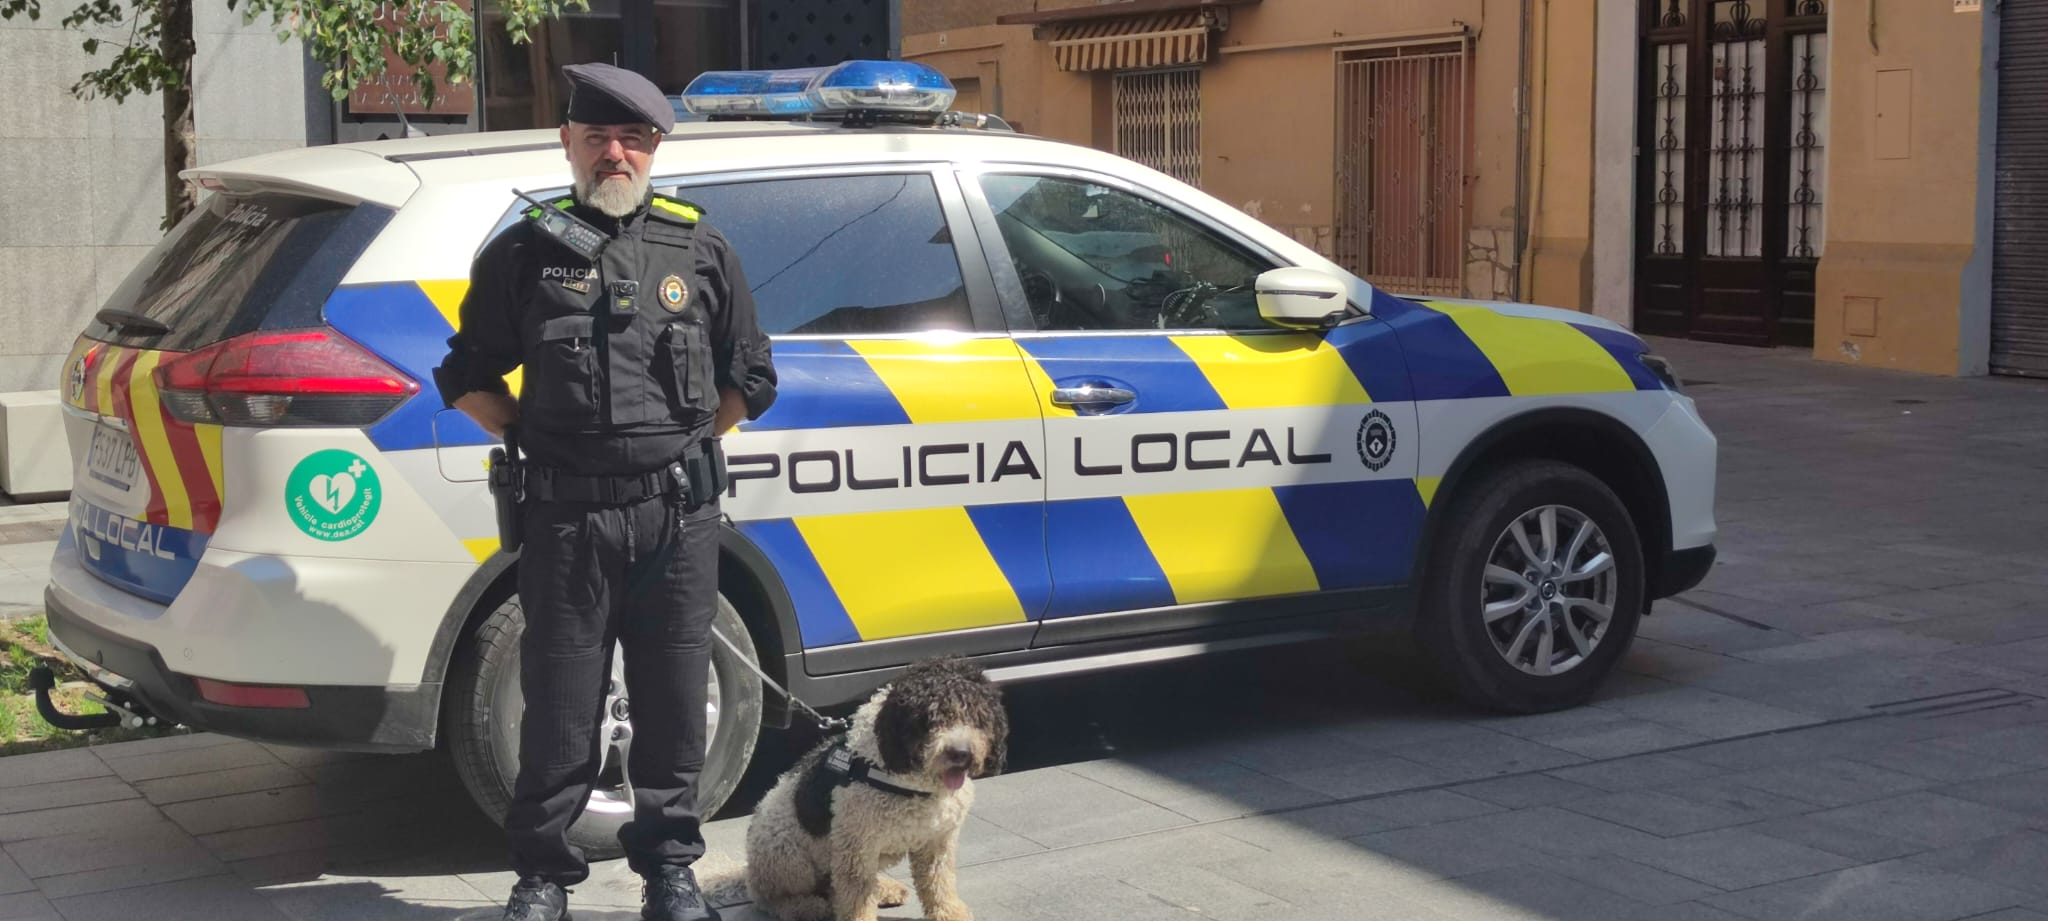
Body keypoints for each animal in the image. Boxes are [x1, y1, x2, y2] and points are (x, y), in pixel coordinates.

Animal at [744, 657, 1008, 921]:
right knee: (772, 898)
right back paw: (808, 906)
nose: (960, 753)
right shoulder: (856, 845)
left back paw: (883, 889)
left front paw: (950, 912)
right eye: (930, 719)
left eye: (978, 717)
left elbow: (938, 880)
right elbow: (856, 894)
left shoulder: (937, 840)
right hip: (787, 856)